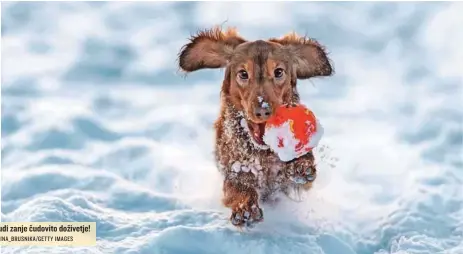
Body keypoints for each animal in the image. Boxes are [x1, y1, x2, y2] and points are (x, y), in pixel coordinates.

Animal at [178, 26, 334, 227]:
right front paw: (245, 209)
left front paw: (300, 165)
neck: (263, 153)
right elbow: (238, 186)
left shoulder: (299, 184)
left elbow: (303, 171)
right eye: (243, 74)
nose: (263, 110)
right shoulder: (235, 167)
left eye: (278, 72)